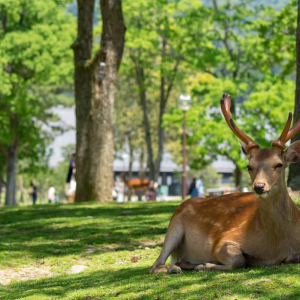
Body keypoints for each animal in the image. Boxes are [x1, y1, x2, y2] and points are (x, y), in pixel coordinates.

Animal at [150, 94, 300, 274]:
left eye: (279, 164)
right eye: (249, 166)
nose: (259, 186)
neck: (279, 244)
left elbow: (293, 257)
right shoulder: (223, 239)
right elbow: (238, 259)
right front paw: (206, 265)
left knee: (179, 260)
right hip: (174, 225)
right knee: (155, 265)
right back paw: (176, 268)